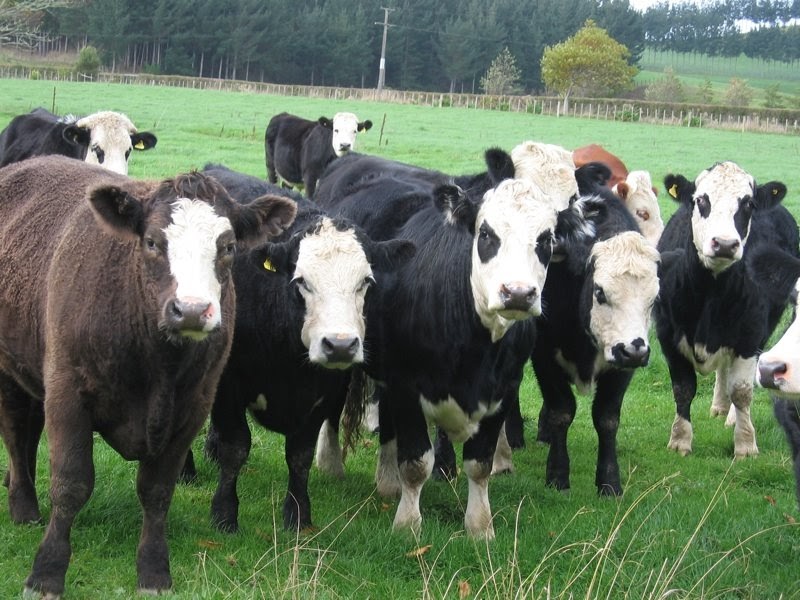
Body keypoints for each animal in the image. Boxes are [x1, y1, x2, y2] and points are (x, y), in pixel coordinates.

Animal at [0, 155, 296, 597]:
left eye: (227, 247)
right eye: (154, 242)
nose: (191, 310)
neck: (157, 364)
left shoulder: (192, 408)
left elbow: (157, 491)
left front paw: (155, 570)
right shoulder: (68, 393)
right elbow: (70, 484)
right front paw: (46, 571)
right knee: (18, 432)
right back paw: (23, 505)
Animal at [328, 178, 572, 539]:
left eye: (546, 239)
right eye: (486, 233)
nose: (517, 293)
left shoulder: (503, 391)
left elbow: (480, 464)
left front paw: (480, 527)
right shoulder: (407, 387)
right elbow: (416, 464)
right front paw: (407, 525)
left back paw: (387, 482)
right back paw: (329, 464)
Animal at [654, 161, 799, 458]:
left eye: (749, 204)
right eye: (701, 200)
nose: (724, 243)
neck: (711, 295)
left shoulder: (750, 336)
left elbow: (742, 391)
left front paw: (745, 443)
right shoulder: (668, 335)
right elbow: (683, 388)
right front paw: (680, 440)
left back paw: (731, 415)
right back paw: (719, 406)